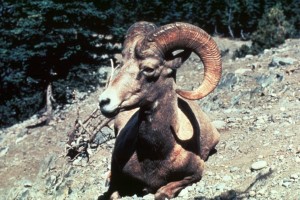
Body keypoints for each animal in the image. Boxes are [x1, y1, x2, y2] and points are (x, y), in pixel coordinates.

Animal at [98, 21, 220, 199]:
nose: (104, 101)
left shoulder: (195, 172)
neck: (155, 154)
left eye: (149, 68)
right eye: (123, 63)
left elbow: (162, 192)